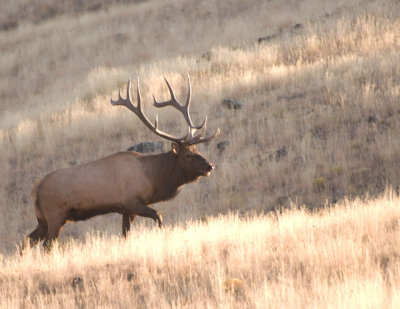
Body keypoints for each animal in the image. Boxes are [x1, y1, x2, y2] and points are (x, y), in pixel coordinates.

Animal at [24, 74, 220, 248]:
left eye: (197, 150)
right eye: (188, 154)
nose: (210, 166)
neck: (153, 178)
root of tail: (35, 191)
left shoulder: (127, 210)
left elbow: (125, 234)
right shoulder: (132, 201)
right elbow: (159, 216)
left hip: (43, 219)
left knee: (26, 241)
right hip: (55, 215)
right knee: (46, 245)